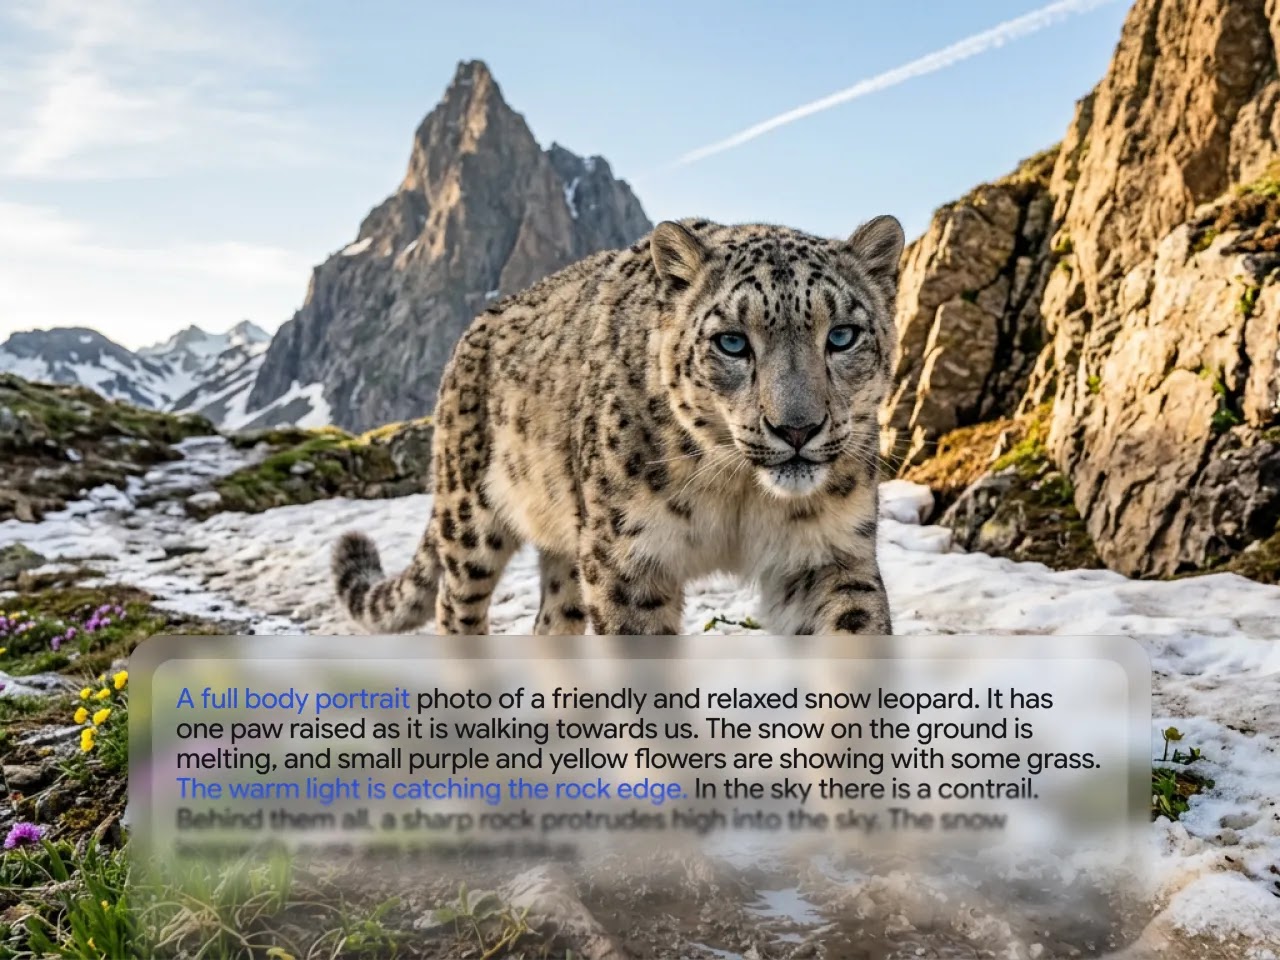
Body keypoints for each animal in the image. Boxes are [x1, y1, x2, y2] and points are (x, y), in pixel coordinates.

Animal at [332, 215, 905, 636]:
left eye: (842, 336)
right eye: (732, 342)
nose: (797, 429)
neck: (739, 492)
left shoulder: (829, 555)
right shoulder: (627, 559)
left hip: (568, 540)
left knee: (551, 622)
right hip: (471, 519)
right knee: (455, 610)